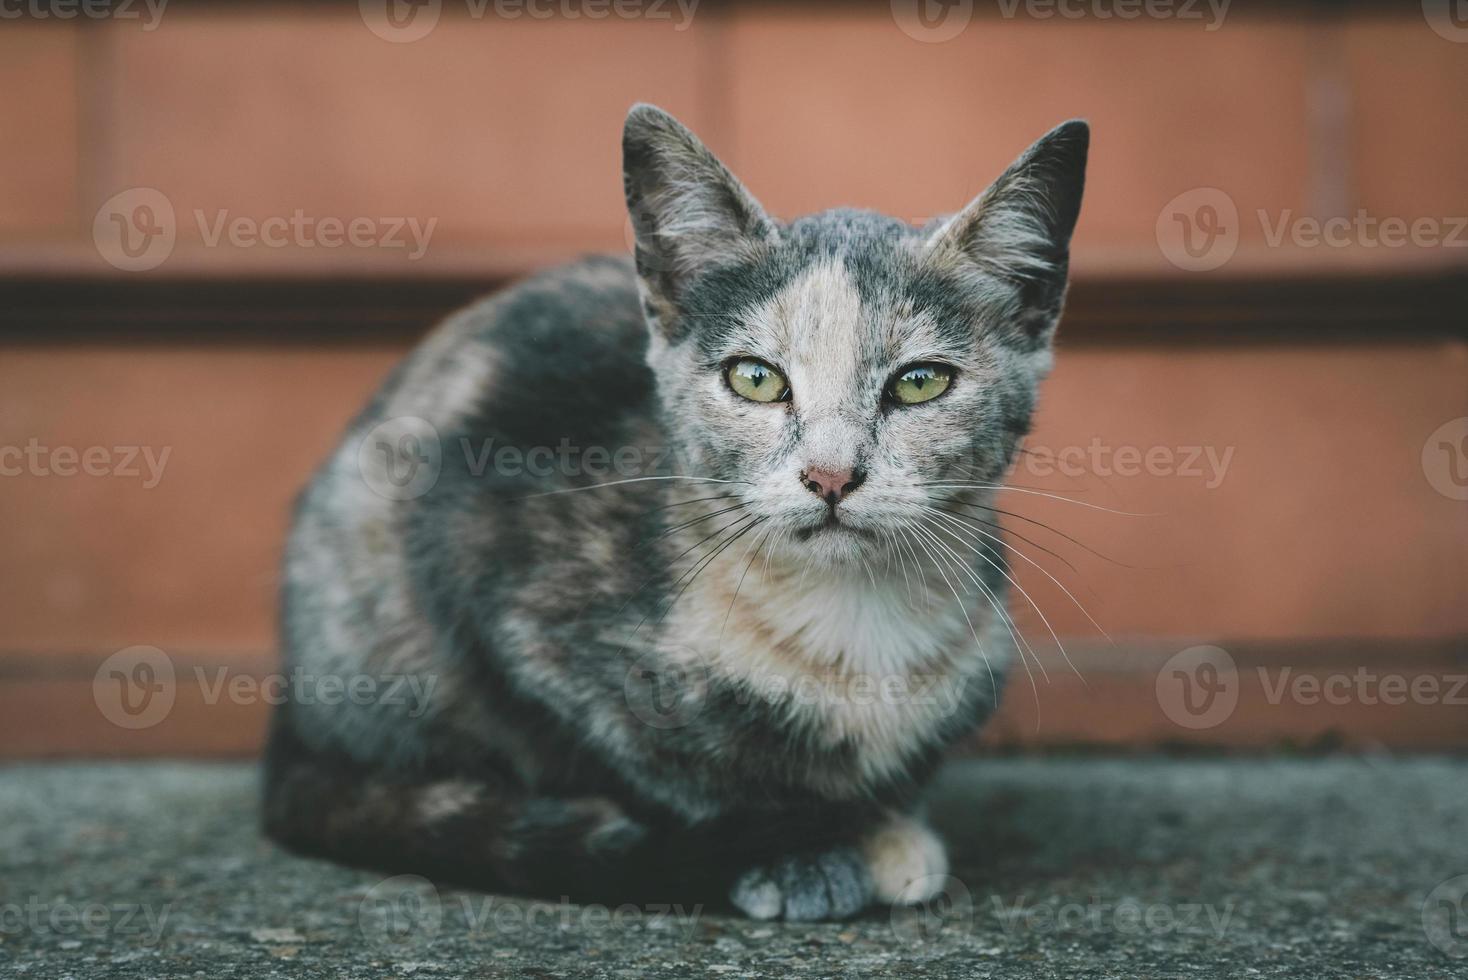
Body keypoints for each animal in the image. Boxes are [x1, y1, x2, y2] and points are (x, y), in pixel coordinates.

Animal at [264, 103, 1092, 921]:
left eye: (921, 383)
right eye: (755, 378)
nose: (830, 475)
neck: (850, 617)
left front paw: (887, 825)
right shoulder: (485, 566)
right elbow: (656, 766)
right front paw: (794, 849)